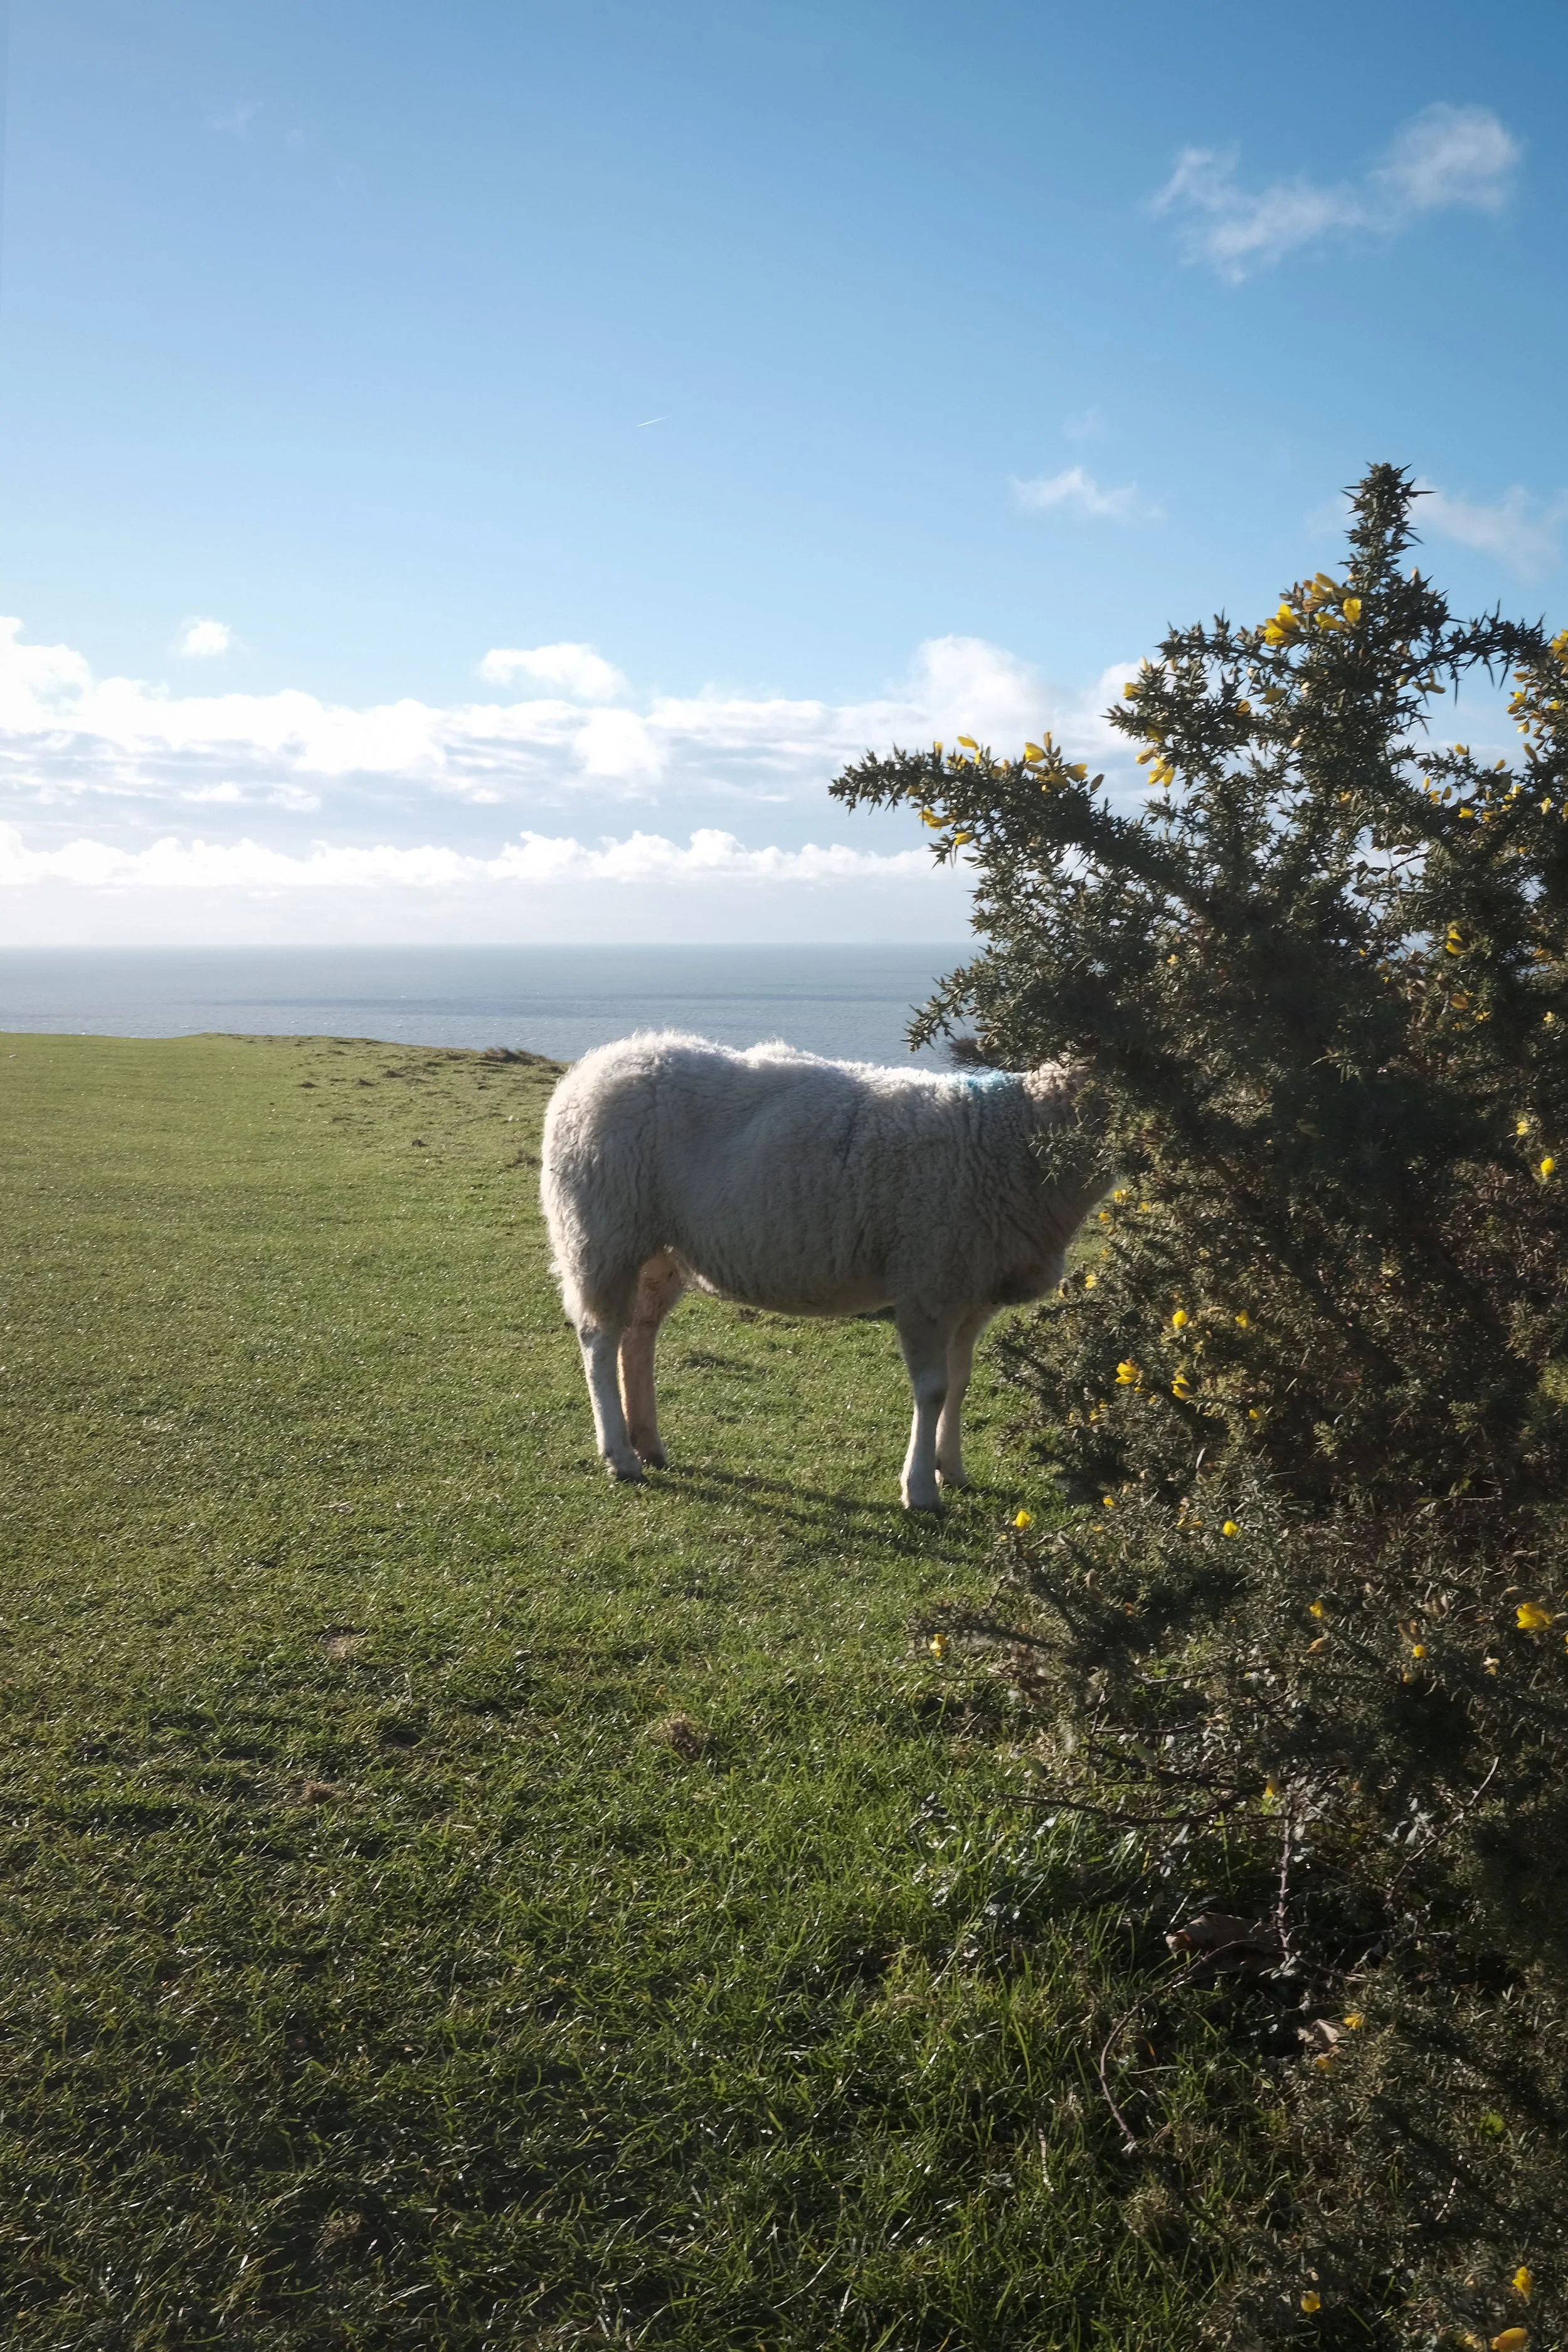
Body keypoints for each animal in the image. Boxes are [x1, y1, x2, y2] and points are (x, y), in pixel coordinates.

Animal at [540, 1031, 1104, 1510]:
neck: (1013, 1135)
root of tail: (594, 1067)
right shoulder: (928, 1282)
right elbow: (933, 1390)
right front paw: (920, 1489)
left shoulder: (970, 1294)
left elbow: (960, 1383)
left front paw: (953, 1469)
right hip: (604, 1234)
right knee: (599, 1340)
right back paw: (620, 1455)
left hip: (659, 1251)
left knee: (637, 1337)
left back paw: (648, 1442)